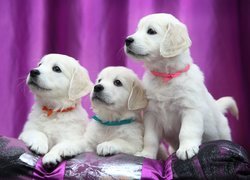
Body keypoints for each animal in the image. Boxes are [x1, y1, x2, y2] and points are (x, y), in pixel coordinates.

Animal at [124, 13, 238, 160]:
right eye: (137, 29)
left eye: (151, 31)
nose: (127, 40)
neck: (166, 76)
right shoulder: (151, 114)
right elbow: (150, 138)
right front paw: (146, 154)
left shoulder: (190, 109)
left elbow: (187, 131)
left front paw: (186, 149)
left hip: (223, 133)